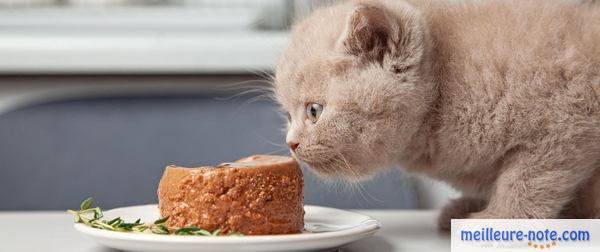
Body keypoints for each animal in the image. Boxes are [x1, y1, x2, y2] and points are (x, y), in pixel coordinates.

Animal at [274, 0, 600, 229]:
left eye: (314, 111)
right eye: (287, 116)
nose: (291, 143)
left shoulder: (566, 120)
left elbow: (526, 177)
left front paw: (500, 217)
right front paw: (467, 207)